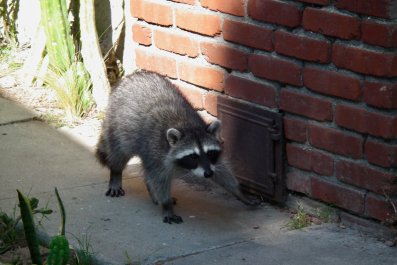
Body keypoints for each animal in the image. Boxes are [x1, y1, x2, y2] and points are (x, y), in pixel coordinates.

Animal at [95, 70, 256, 223]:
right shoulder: (157, 151)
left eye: (210, 153)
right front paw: (166, 205)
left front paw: (239, 192)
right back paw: (116, 175)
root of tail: (129, 78)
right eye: (193, 156)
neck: (188, 126)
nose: (208, 174)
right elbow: (159, 177)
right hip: (119, 126)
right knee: (119, 153)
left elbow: (222, 169)